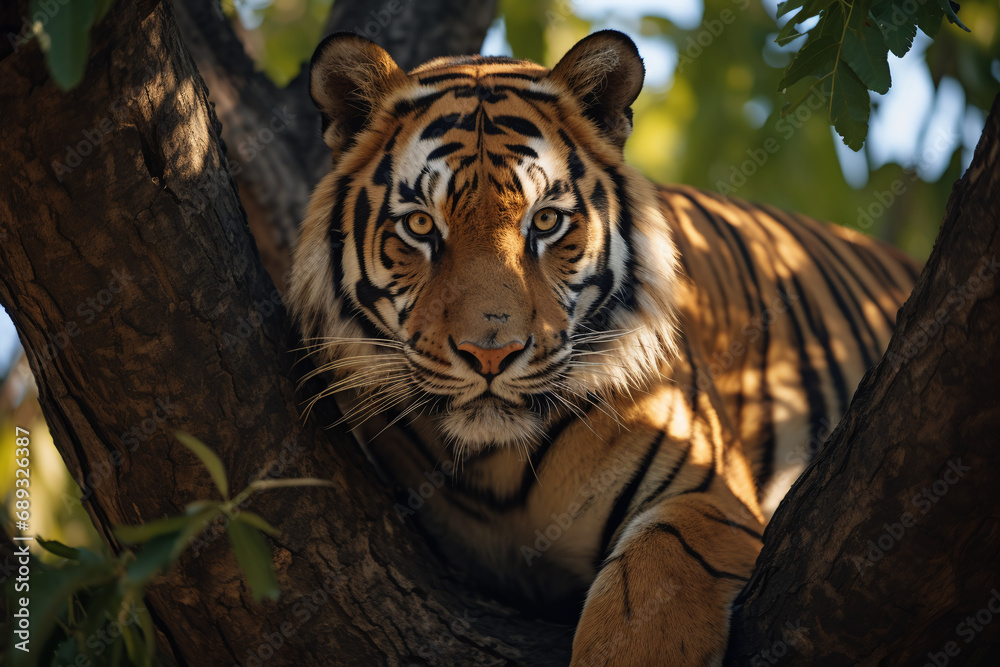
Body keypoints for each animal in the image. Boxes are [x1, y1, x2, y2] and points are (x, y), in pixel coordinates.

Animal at [288, 29, 919, 665]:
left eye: (545, 222)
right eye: (420, 226)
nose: (491, 355)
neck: (498, 467)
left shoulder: (710, 497)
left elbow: (656, 576)